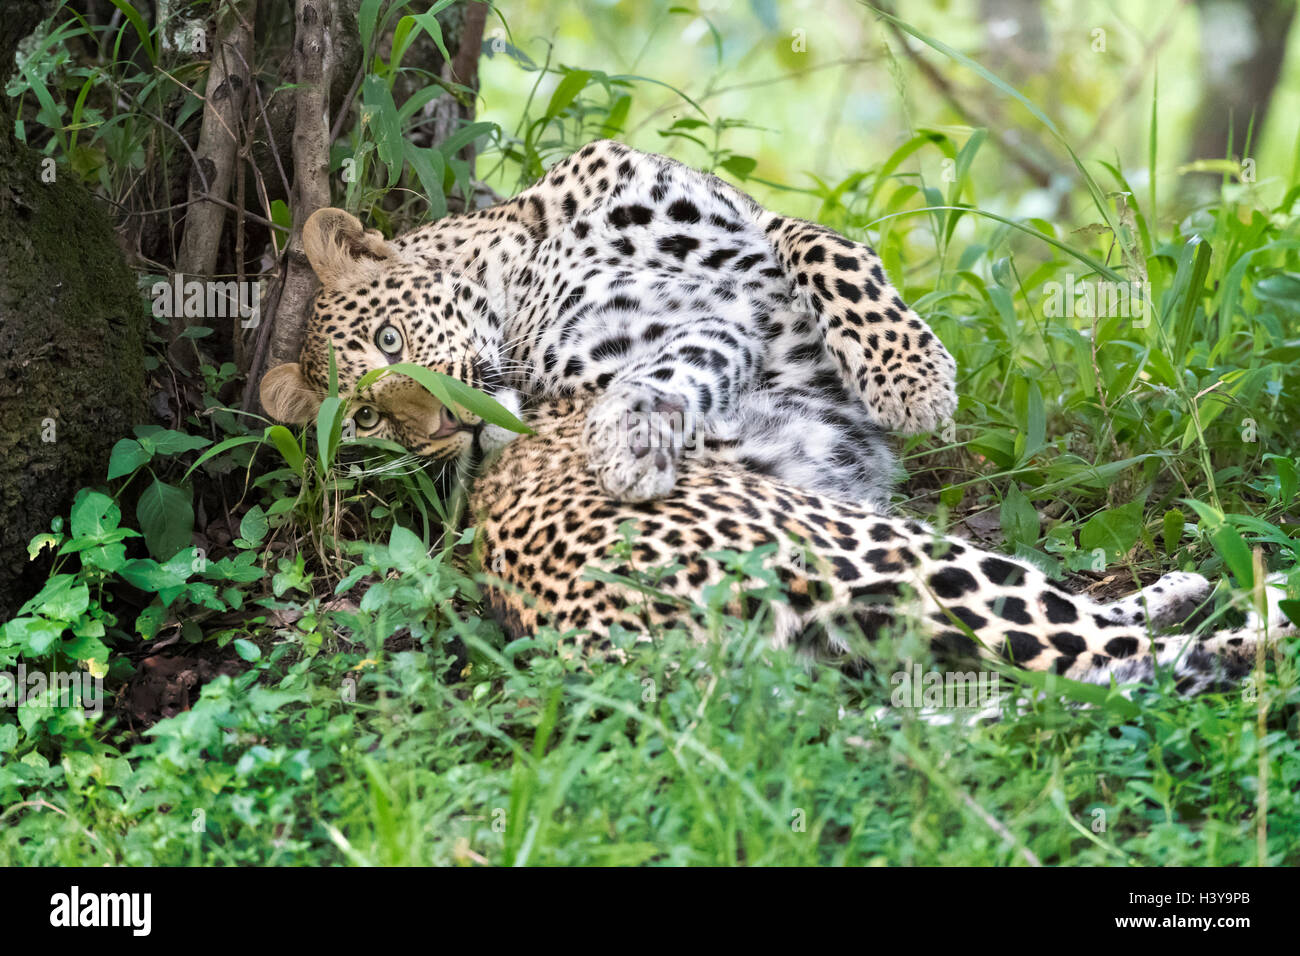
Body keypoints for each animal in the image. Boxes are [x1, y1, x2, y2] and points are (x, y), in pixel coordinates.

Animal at [258, 138, 961, 509]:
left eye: (390, 340)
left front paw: (913, 380)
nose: (446, 425)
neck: (523, 266)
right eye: (366, 420)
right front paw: (630, 449)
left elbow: (828, 250)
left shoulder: (747, 222)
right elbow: (659, 378)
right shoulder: (717, 328)